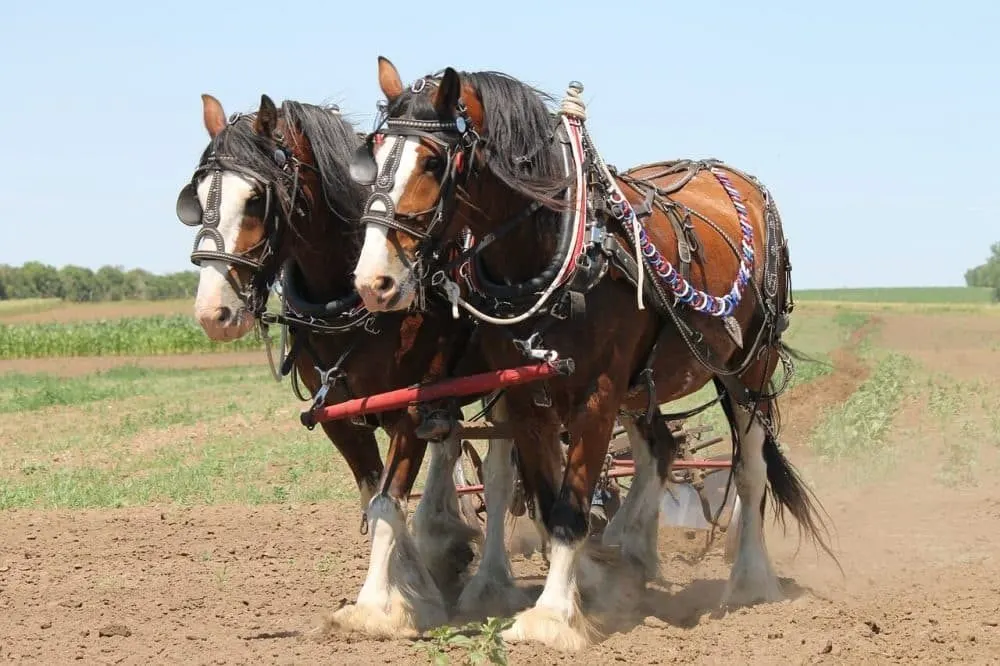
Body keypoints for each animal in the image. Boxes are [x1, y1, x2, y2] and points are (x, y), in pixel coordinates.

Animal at [176, 92, 528, 632]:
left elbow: (387, 501)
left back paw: (490, 584)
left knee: (497, 474)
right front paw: (414, 581)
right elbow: (374, 498)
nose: (213, 313)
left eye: (256, 199)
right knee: (449, 449)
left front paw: (377, 606)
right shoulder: (339, 417)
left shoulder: (407, 408)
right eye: (196, 196)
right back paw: (444, 542)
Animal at [352, 58, 836, 648]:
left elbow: (571, 504)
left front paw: (552, 616)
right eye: (374, 153)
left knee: (749, 469)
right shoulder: (526, 395)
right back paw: (630, 553)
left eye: (434, 161)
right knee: (658, 451)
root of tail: (735, 177)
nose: (373, 282)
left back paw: (749, 580)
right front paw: (582, 590)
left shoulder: (598, 393)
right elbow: (547, 499)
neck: (559, 250)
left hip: (748, 369)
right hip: (646, 383)